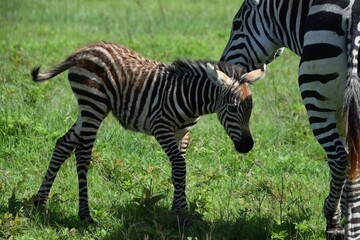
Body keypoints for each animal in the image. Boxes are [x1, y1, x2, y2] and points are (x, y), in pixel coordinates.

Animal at [31, 40, 264, 223]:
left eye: (251, 109)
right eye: (233, 108)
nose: (247, 146)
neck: (191, 99)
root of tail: (82, 51)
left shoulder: (183, 133)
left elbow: (179, 169)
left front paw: (180, 210)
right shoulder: (161, 128)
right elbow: (179, 167)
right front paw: (179, 213)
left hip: (91, 109)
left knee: (63, 144)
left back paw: (40, 203)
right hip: (93, 104)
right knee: (82, 155)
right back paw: (85, 215)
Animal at [221, 0, 360, 239]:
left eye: (237, 24)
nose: (221, 65)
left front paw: (339, 220)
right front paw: (348, 216)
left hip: (316, 98)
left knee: (339, 158)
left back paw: (331, 219)